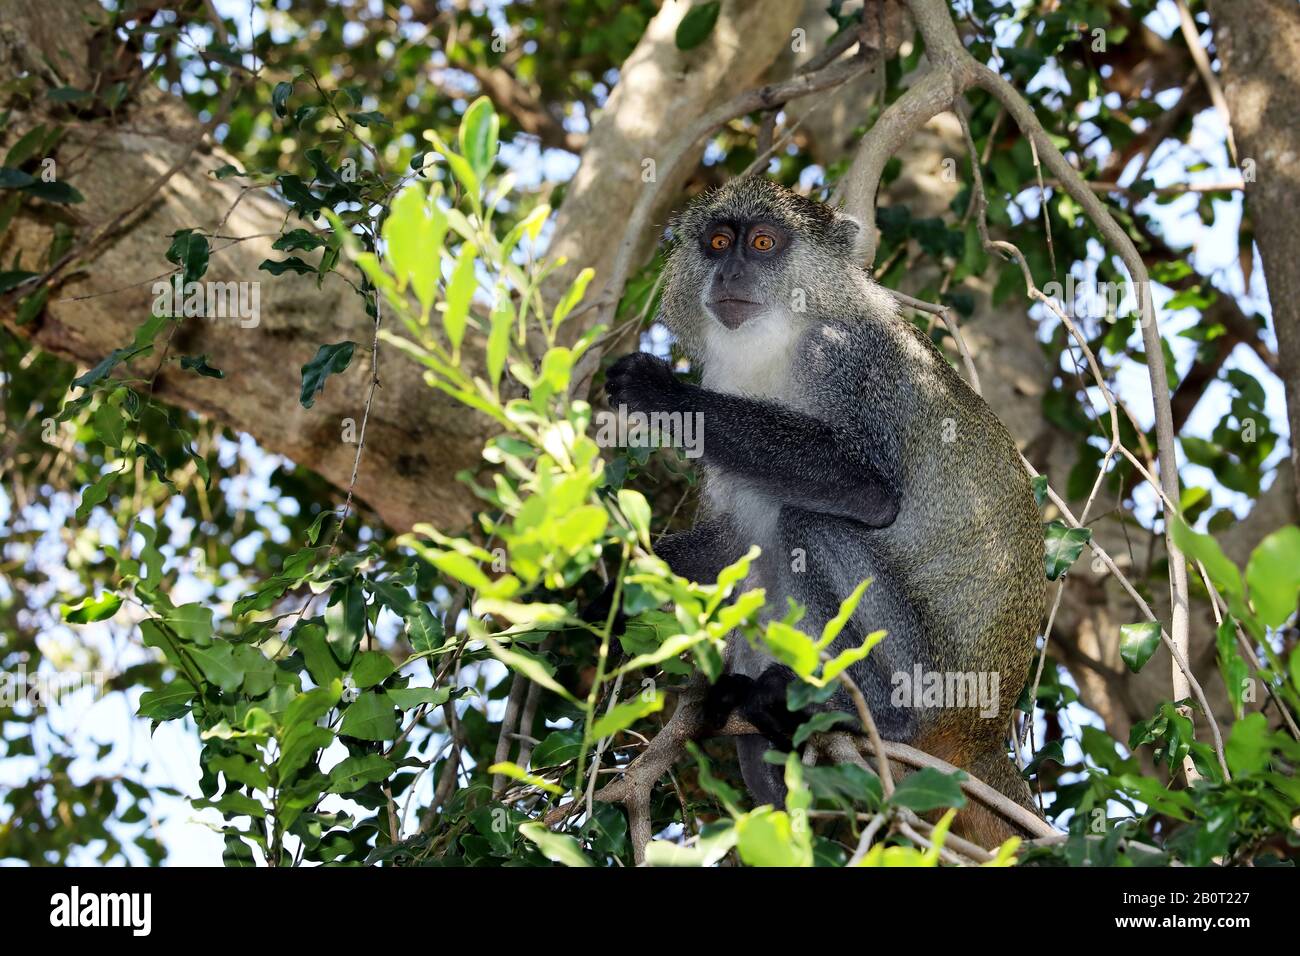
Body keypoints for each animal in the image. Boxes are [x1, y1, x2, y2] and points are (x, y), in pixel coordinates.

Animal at [601, 177, 1045, 842]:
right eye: (717, 242)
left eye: (763, 242)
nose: (730, 271)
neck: (776, 340)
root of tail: (985, 735)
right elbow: (737, 540)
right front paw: (602, 585)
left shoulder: (844, 361)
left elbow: (866, 489)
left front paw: (662, 392)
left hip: (930, 673)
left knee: (807, 522)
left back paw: (879, 717)